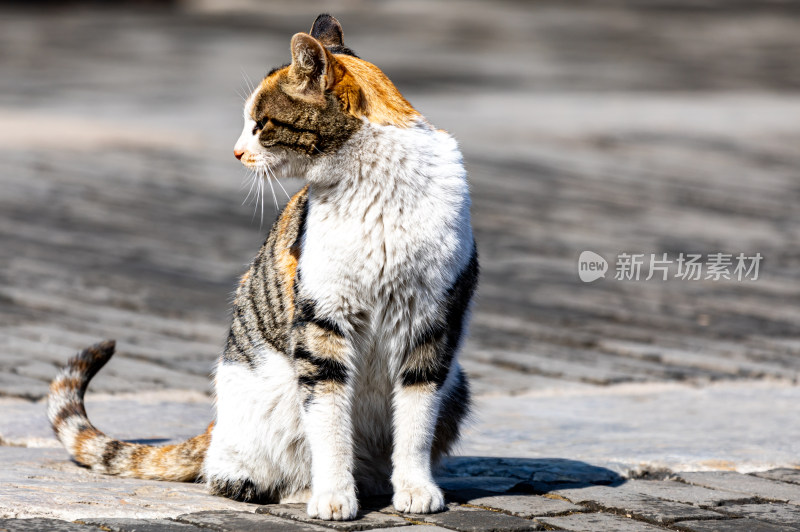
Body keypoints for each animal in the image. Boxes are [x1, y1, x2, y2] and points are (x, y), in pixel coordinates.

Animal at [48, 14, 476, 520]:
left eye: (261, 123)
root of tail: (215, 426)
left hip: (458, 384)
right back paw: (303, 489)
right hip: (263, 400)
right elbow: (329, 423)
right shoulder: (321, 323)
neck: (373, 184)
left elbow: (416, 419)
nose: (235, 152)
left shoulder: (430, 324)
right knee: (232, 473)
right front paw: (333, 497)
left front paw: (415, 490)